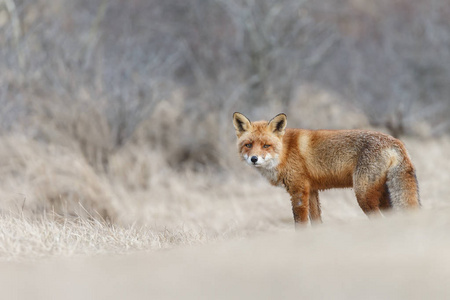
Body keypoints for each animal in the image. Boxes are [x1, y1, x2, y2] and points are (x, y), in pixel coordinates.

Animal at [234, 112, 420, 227]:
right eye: (248, 145)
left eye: (266, 145)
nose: (254, 159)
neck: (285, 152)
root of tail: (396, 142)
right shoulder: (312, 191)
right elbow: (317, 223)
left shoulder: (298, 191)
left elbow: (300, 224)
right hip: (382, 196)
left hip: (364, 195)